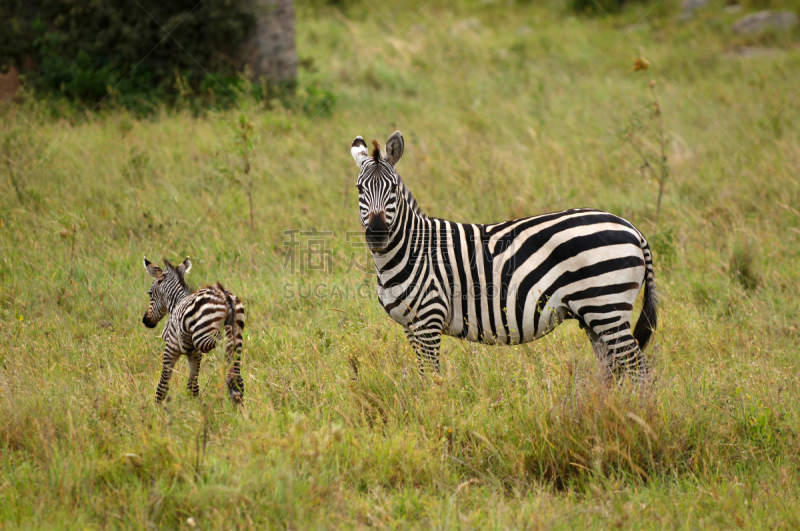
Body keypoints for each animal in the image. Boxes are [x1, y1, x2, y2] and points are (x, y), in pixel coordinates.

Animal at [141, 258, 245, 404]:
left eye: (150, 293)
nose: (145, 320)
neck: (176, 302)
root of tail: (225, 296)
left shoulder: (171, 347)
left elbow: (163, 382)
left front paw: (158, 406)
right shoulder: (194, 353)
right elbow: (192, 384)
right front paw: (194, 405)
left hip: (202, 336)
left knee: (225, 339)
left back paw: (230, 378)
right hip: (238, 335)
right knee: (239, 377)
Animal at [348, 131, 656, 384]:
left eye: (392, 189)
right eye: (360, 189)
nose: (377, 235)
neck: (411, 250)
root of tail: (632, 228)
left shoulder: (428, 321)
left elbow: (431, 379)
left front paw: (433, 410)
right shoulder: (411, 326)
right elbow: (424, 376)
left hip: (607, 306)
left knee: (639, 369)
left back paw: (639, 413)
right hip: (594, 314)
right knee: (612, 368)